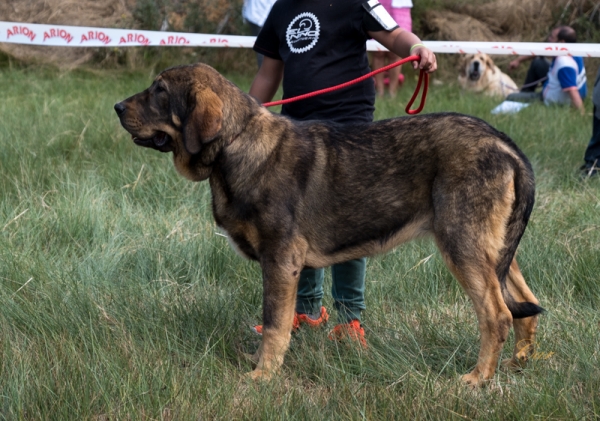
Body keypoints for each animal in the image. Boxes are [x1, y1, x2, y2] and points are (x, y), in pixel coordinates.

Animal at [113, 63, 544, 388]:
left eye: (160, 91)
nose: (116, 107)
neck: (236, 143)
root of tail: (505, 144)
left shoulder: (279, 259)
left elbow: (274, 323)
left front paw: (263, 375)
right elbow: (281, 320)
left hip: (462, 243)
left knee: (497, 315)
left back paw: (479, 378)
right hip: (496, 251)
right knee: (525, 306)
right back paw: (517, 365)